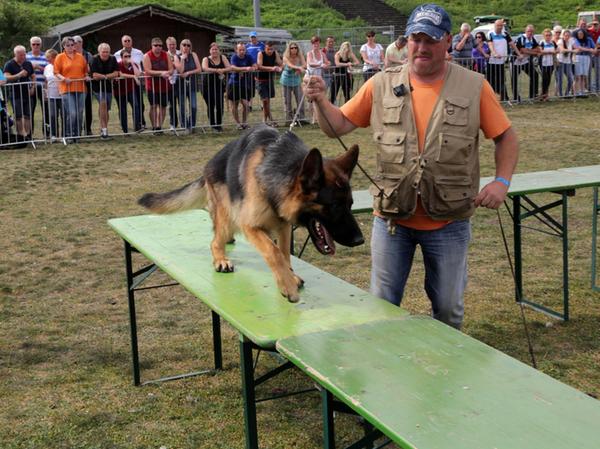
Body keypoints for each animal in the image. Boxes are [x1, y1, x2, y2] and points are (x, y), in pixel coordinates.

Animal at [139, 124, 364, 302]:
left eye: (350, 204)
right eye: (334, 206)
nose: (359, 240)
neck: (276, 173)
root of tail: (209, 165)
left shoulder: (283, 225)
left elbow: (284, 253)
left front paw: (289, 276)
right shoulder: (250, 225)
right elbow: (273, 252)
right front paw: (287, 285)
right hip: (227, 214)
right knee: (214, 241)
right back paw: (221, 259)